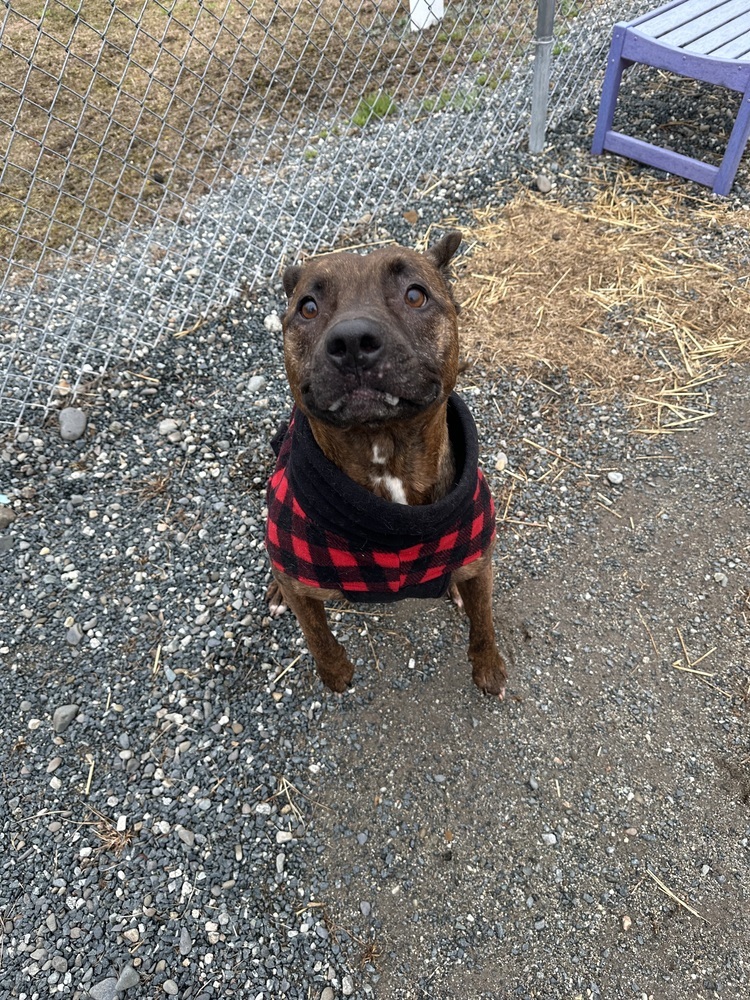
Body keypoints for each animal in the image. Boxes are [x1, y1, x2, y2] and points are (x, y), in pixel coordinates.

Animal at [266, 230, 512, 700]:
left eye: (415, 295)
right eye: (308, 307)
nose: (351, 342)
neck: (385, 454)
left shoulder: (481, 562)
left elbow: (485, 621)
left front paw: (489, 667)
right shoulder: (304, 585)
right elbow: (315, 632)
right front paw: (335, 671)